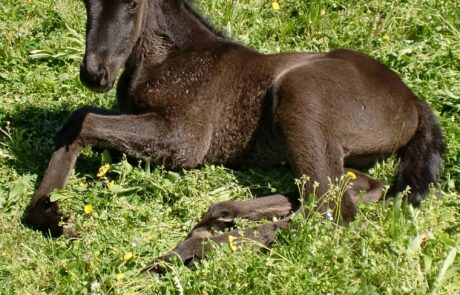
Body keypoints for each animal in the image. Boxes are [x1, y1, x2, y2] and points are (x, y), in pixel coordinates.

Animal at [23, 0, 444, 272]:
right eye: (86, 1)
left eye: (131, 6)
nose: (95, 73)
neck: (171, 56)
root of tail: (412, 98)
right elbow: (78, 119)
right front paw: (47, 210)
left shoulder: (184, 140)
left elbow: (86, 122)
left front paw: (54, 216)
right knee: (357, 186)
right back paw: (220, 215)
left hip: (300, 94)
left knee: (330, 211)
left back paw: (191, 247)